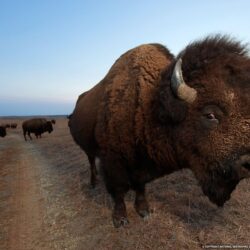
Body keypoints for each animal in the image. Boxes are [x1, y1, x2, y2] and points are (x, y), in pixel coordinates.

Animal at [69, 35, 250, 229]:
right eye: (210, 115)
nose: (247, 163)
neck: (149, 105)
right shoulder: (112, 161)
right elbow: (118, 190)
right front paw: (120, 219)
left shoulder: (140, 165)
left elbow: (140, 186)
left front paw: (144, 211)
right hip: (89, 149)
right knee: (91, 162)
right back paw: (93, 183)